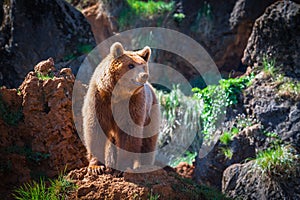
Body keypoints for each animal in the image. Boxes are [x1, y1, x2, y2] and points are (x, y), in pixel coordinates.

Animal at [82, 42, 161, 173]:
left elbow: (129, 133)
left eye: (143, 66)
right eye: (131, 65)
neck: (117, 95)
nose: (144, 75)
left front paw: (122, 167)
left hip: (151, 114)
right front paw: (96, 167)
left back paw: (145, 166)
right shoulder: (99, 99)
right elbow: (95, 130)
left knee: (148, 141)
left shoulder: (132, 104)